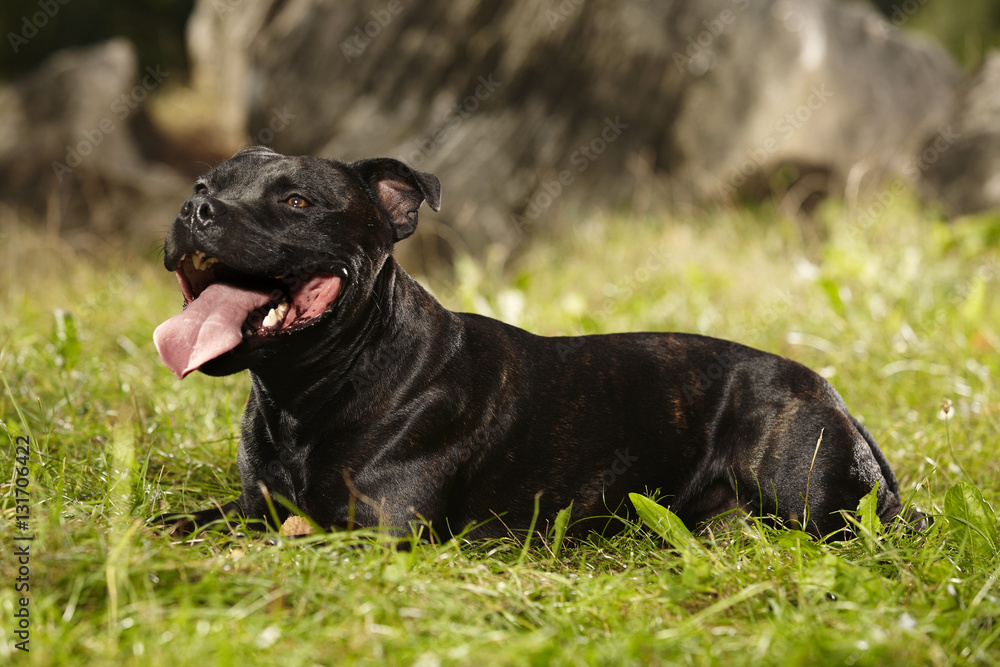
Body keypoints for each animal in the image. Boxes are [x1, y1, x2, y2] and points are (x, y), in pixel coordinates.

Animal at [156, 146, 920, 544]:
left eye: (297, 202)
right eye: (202, 185)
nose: (194, 208)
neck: (305, 392)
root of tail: (833, 394)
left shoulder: (382, 529)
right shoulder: (252, 504)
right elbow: (187, 519)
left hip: (820, 507)